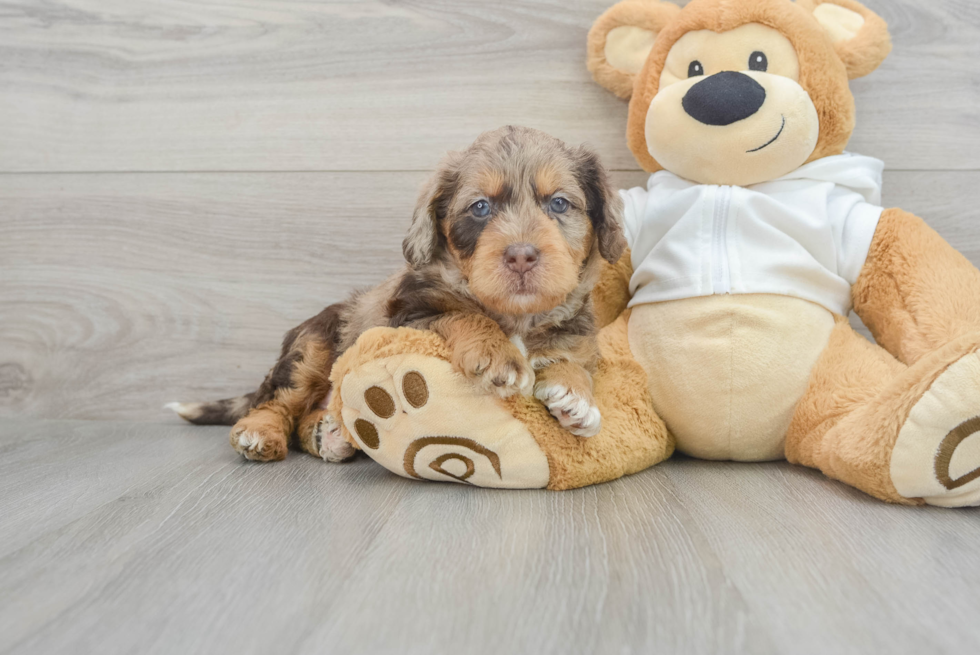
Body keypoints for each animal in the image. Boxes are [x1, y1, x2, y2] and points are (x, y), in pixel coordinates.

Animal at [169, 127, 624, 462]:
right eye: (480, 207)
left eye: (559, 204)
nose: (521, 255)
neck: (515, 316)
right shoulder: (409, 315)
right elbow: (463, 313)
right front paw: (497, 354)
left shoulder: (575, 336)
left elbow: (572, 361)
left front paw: (577, 397)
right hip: (312, 343)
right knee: (278, 399)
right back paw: (259, 433)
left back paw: (329, 435)